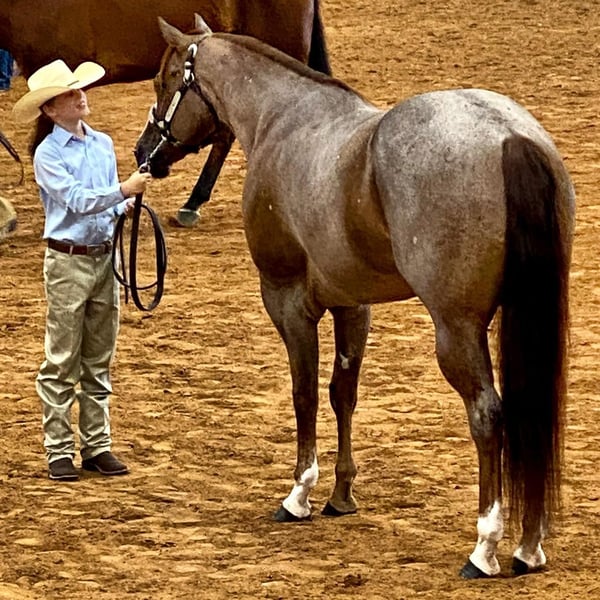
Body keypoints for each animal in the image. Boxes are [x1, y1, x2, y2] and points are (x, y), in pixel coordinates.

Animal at [136, 15, 575, 578]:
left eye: (165, 81)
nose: (143, 153)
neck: (283, 120)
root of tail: (510, 137)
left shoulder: (286, 298)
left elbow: (303, 392)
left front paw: (299, 494)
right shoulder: (353, 304)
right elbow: (342, 392)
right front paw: (342, 494)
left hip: (457, 329)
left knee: (488, 415)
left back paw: (485, 548)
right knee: (528, 414)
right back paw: (529, 545)